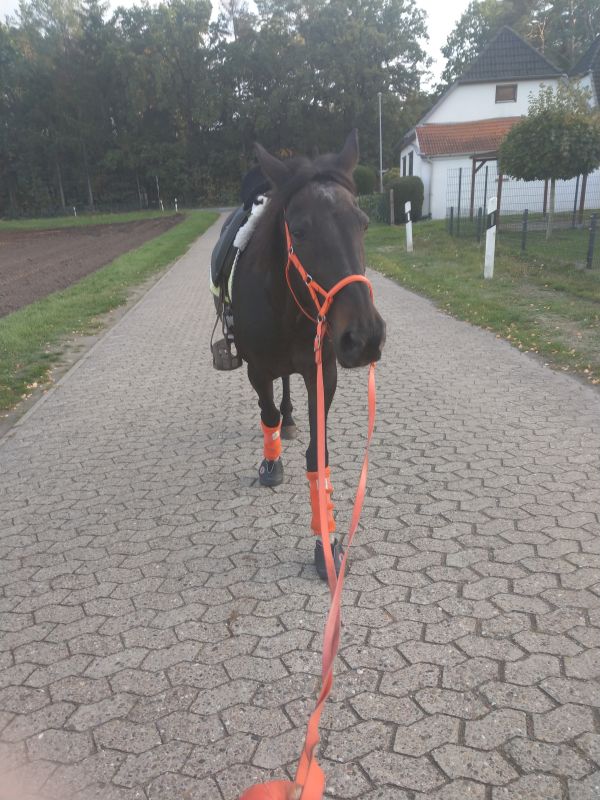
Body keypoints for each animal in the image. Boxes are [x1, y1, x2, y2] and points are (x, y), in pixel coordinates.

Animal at [230, 130, 386, 579]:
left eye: (363, 223)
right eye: (297, 231)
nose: (364, 337)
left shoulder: (322, 373)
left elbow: (319, 457)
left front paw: (327, 541)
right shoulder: (257, 369)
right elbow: (266, 414)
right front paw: (272, 464)